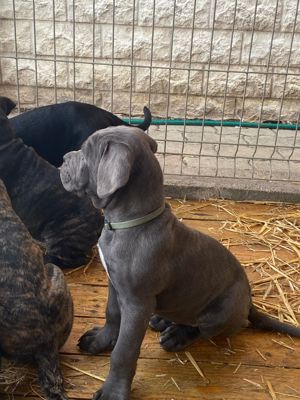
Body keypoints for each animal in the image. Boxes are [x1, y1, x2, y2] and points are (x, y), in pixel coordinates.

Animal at [59, 126, 300, 400]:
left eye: (86, 152)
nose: (63, 159)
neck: (129, 222)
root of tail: (249, 304)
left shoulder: (137, 304)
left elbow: (124, 352)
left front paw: (113, 391)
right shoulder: (115, 284)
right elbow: (111, 314)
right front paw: (99, 341)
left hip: (222, 311)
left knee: (202, 329)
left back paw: (177, 335)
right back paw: (163, 320)